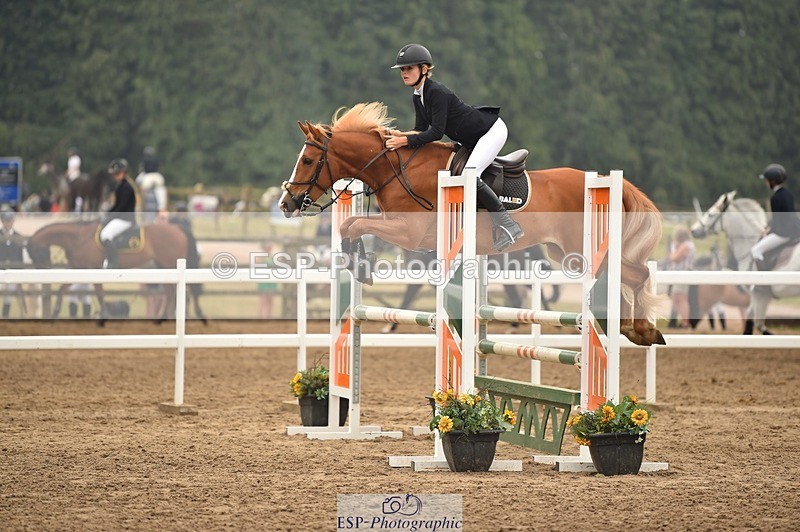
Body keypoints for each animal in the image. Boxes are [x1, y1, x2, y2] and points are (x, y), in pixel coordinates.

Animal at [25, 221, 205, 322]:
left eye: (35, 254)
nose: (42, 271)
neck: (78, 239)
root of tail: (178, 228)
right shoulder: (78, 268)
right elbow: (62, 289)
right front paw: (54, 314)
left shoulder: (93, 269)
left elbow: (99, 294)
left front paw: (105, 315)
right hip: (163, 266)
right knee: (171, 292)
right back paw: (163, 318)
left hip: (168, 263)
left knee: (177, 292)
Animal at [278, 102, 665, 346]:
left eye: (308, 160)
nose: (287, 203)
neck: (397, 170)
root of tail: (604, 181)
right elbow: (351, 226)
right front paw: (358, 264)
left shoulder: (409, 232)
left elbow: (356, 226)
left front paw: (361, 267)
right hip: (563, 252)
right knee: (624, 275)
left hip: (579, 249)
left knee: (638, 273)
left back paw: (643, 331)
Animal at [690, 190, 799, 334]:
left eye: (710, 214)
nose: (693, 230)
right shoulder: (760, 295)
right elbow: (753, 320)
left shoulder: (760, 293)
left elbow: (757, 323)